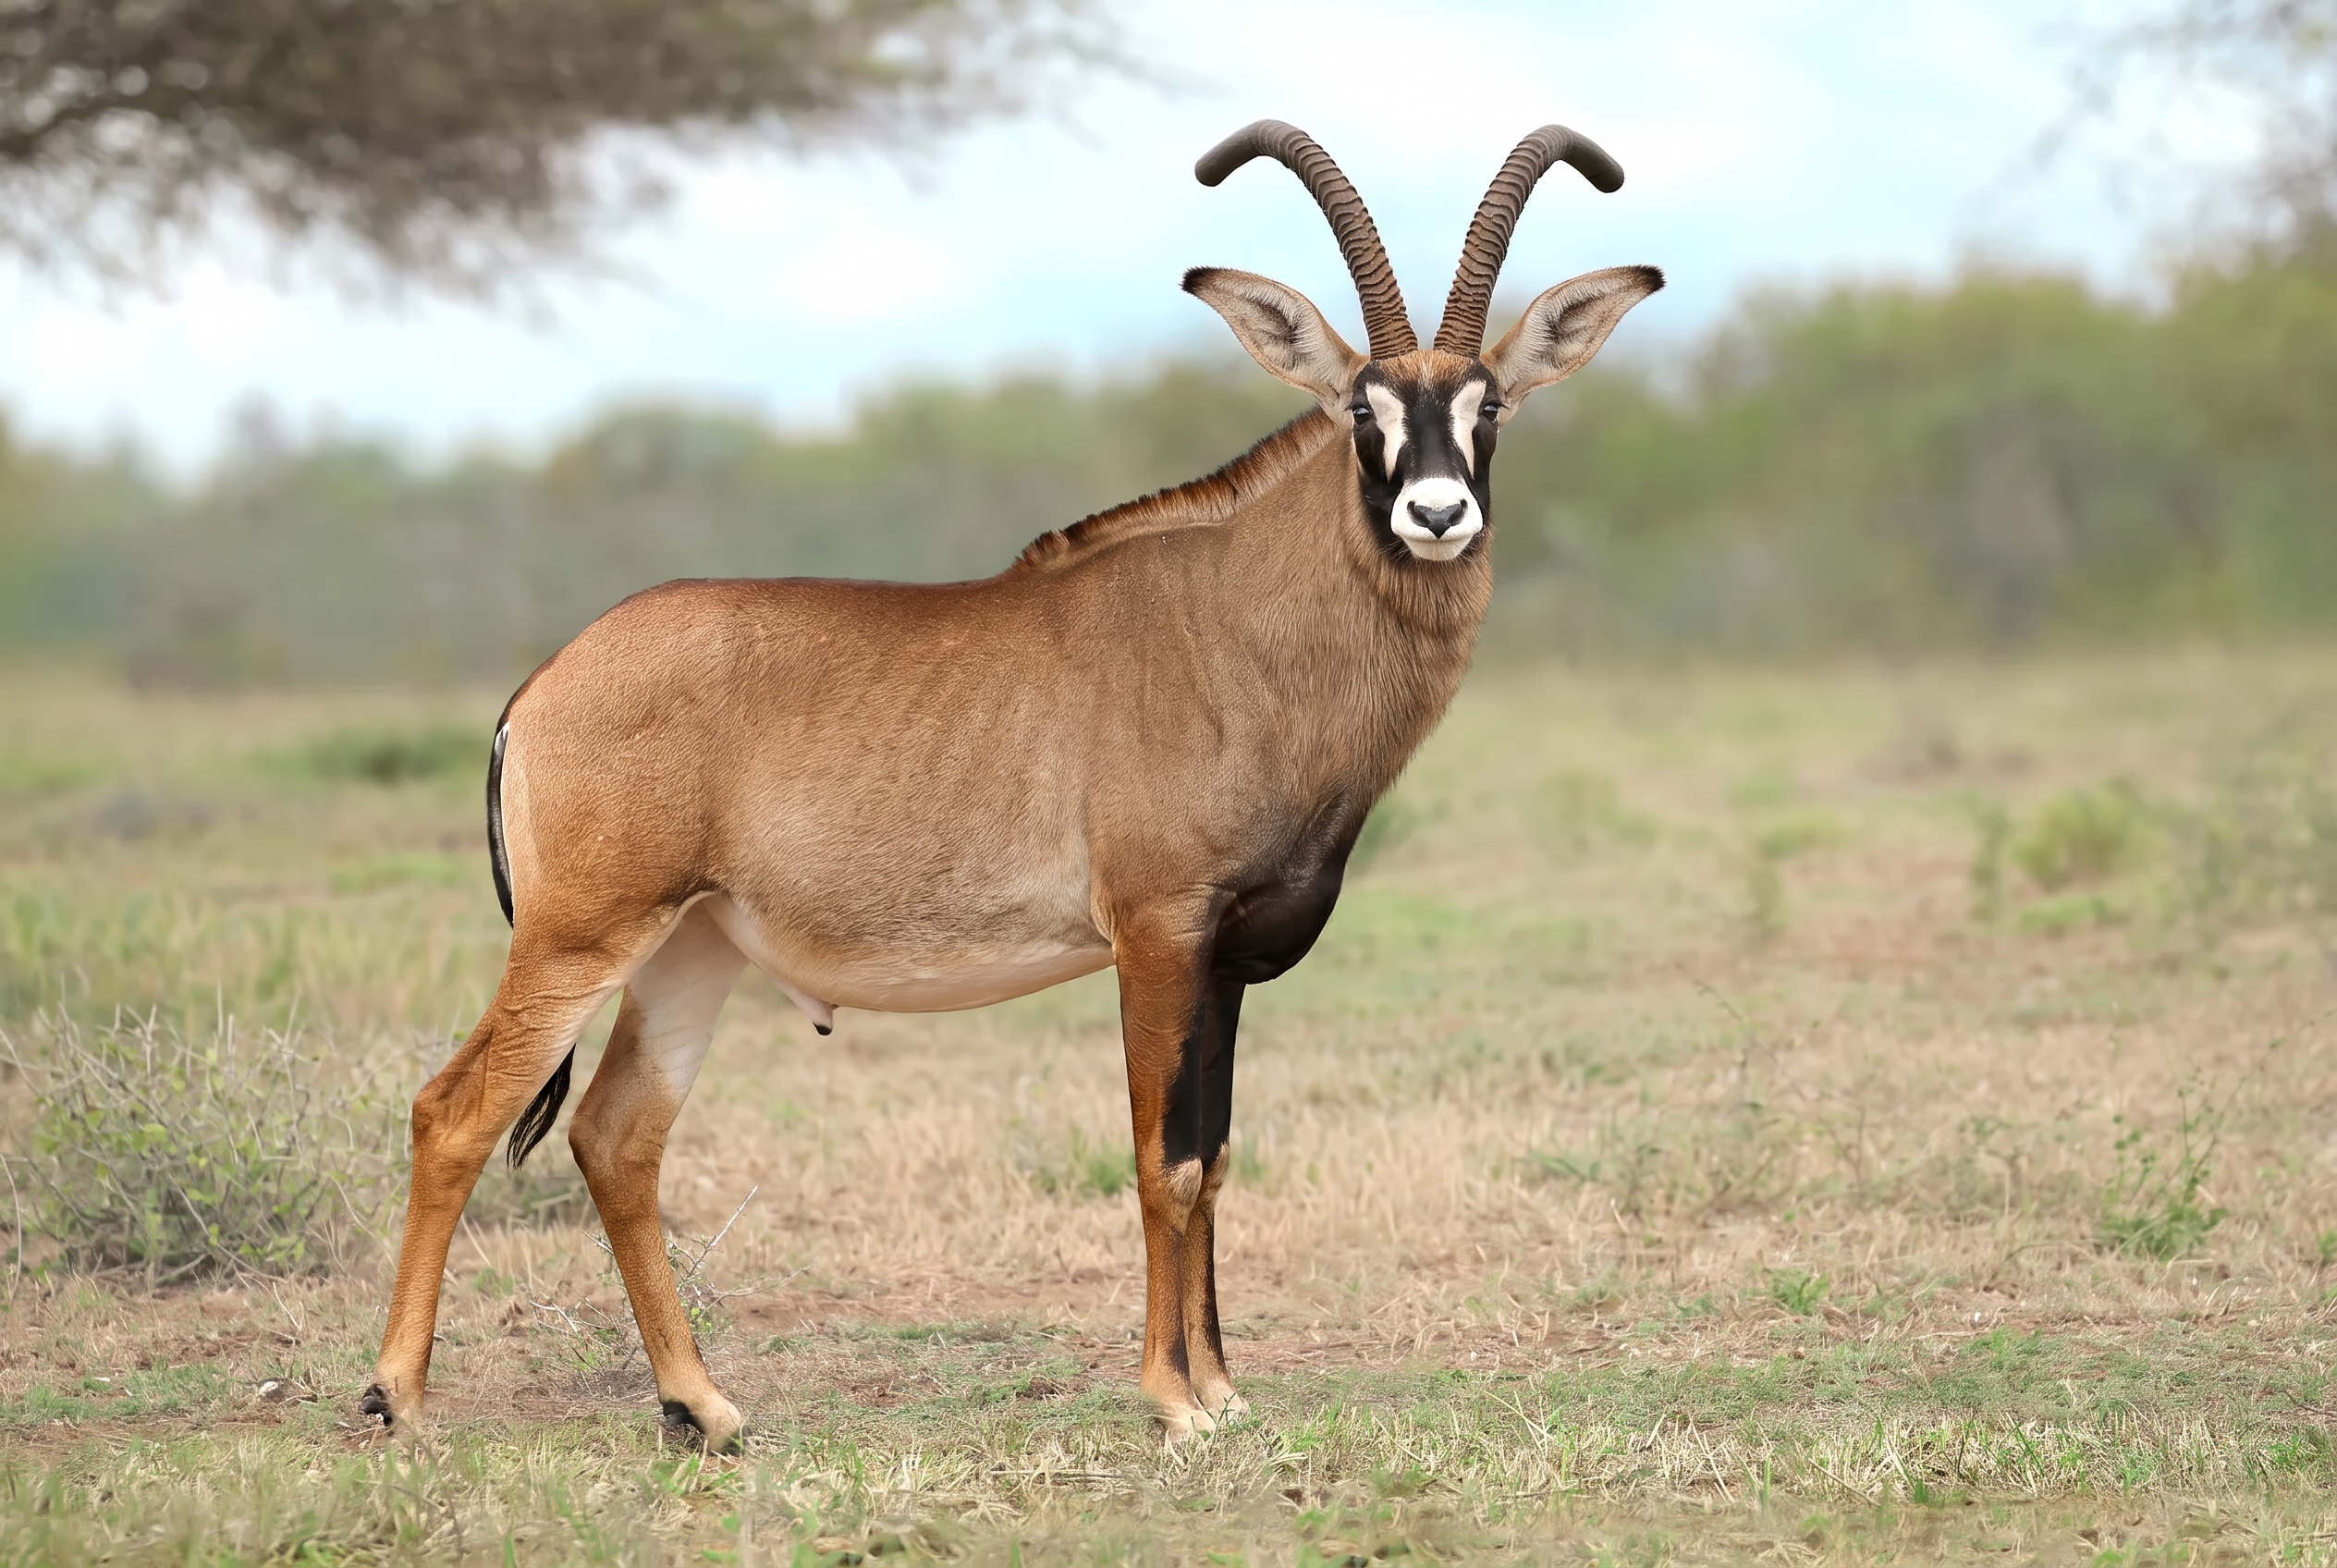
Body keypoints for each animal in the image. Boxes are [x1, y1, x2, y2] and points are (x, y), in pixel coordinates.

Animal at [362, 120, 1661, 1448]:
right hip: (580, 936)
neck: (1241, 625)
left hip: (689, 948)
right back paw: (395, 1396)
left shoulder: (1225, 960)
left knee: (619, 1134)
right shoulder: (1156, 935)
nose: (1435, 514)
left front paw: (1222, 1388)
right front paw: (1173, 1401)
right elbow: (1161, 1161)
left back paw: (702, 1406)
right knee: (454, 1110)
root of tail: (543, 685)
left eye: (1489, 402)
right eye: (1362, 405)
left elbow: (1214, 1157)